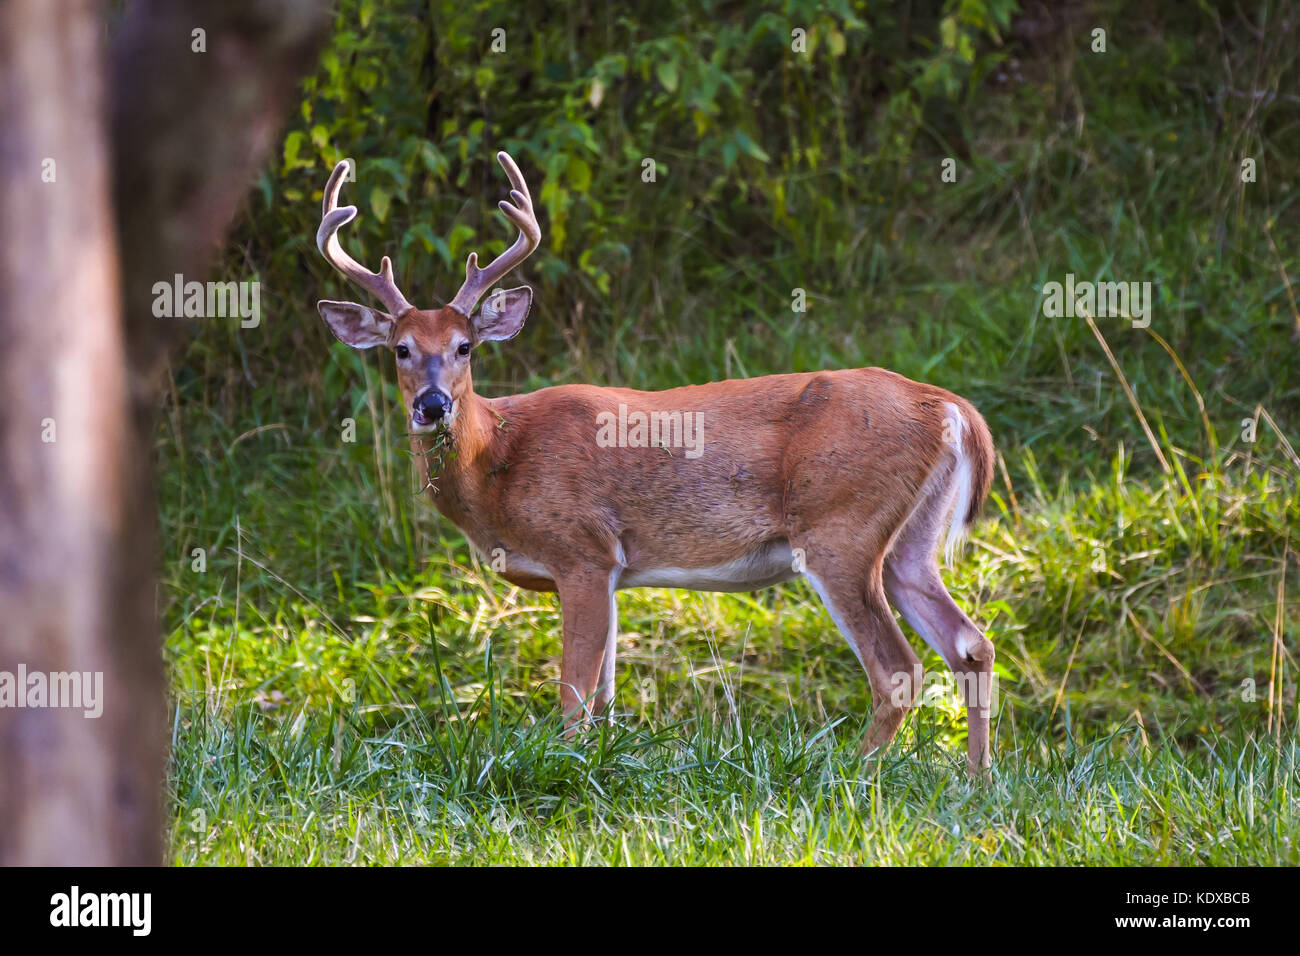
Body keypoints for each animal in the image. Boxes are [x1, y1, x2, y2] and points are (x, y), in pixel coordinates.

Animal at [315, 152, 998, 773]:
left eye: (465, 347)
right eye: (401, 349)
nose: (432, 405)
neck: (499, 464)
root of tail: (949, 406)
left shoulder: (582, 550)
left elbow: (574, 700)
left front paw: (564, 768)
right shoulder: (614, 571)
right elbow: (606, 702)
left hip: (841, 528)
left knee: (900, 669)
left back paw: (849, 773)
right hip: (909, 542)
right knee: (971, 645)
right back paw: (976, 780)